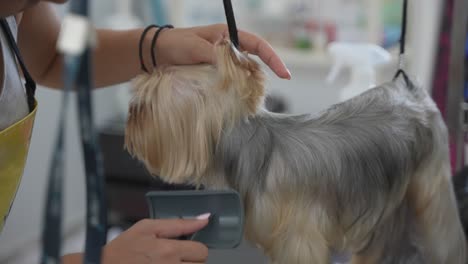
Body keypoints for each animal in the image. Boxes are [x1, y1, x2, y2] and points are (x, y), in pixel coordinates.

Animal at [124, 39, 468, 264]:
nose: (130, 115)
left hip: (431, 179)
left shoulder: (300, 240)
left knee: (442, 228)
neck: (250, 150)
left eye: (147, 104)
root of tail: (409, 88)